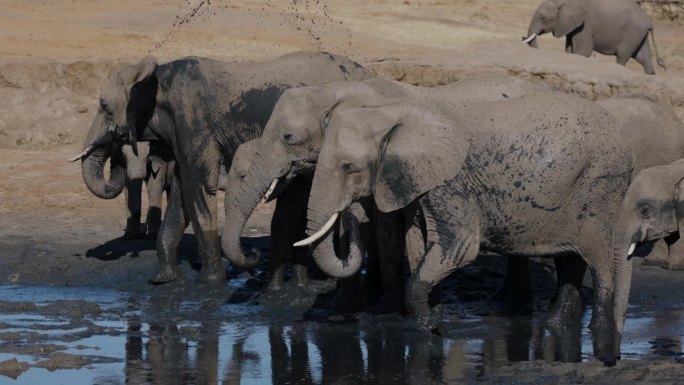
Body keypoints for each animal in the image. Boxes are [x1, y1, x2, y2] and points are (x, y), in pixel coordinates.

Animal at [72, 51, 372, 284]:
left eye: (104, 106)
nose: (115, 148)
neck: (157, 78)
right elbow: (182, 194)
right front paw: (163, 280)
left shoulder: (193, 124)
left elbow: (198, 189)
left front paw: (210, 282)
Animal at [224, 76, 552, 312]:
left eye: (288, 137)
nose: (253, 254)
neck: (332, 92)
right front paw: (347, 304)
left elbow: (384, 227)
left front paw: (383, 309)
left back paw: (511, 300)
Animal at [520, 0, 664, 74]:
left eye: (543, 17)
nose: (522, 37)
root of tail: (650, 21)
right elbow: (569, 50)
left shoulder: (585, 25)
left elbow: (583, 52)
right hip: (639, 33)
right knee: (643, 58)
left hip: (632, 32)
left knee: (623, 56)